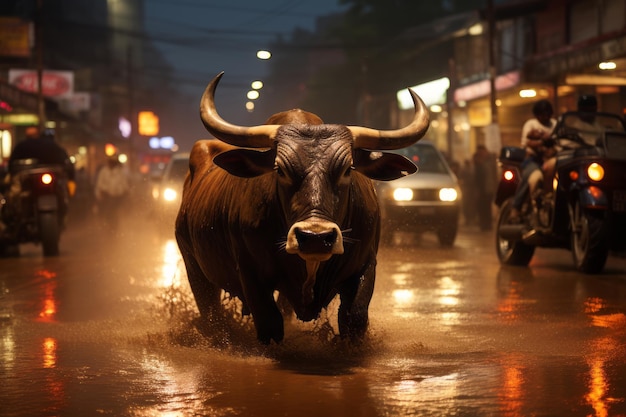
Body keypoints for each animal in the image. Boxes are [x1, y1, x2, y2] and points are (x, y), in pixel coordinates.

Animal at [176, 72, 428, 344]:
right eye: (280, 169)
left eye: (347, 169)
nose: (315, 237)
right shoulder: (251, 274)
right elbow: (269, 324)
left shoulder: (365, 266)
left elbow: (354, 317)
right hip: (194, 267)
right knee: (211, 312)